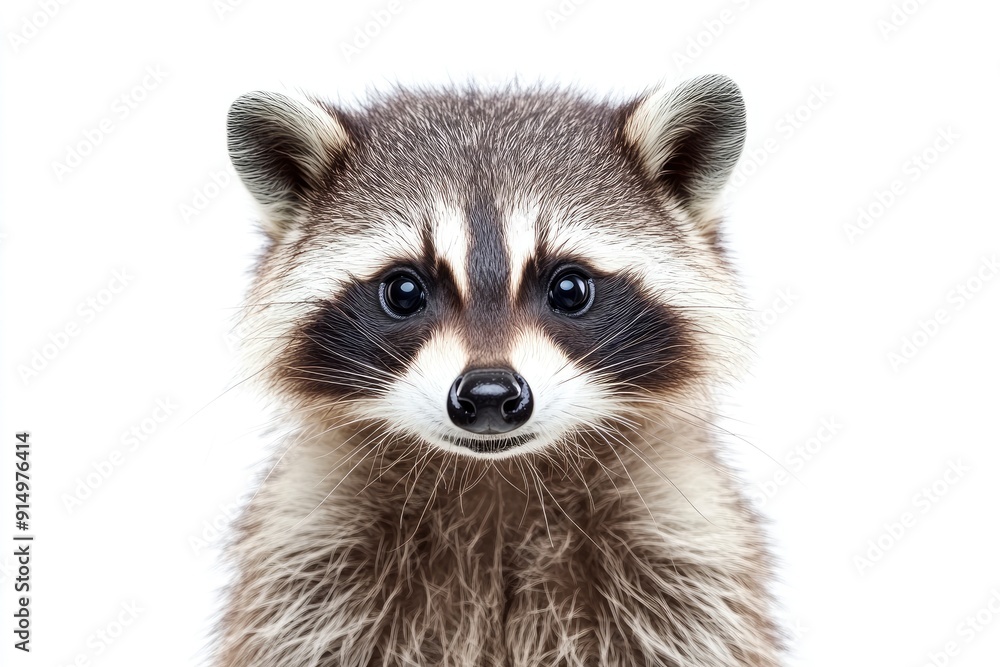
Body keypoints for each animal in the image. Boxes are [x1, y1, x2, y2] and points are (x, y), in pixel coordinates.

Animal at [217, 75, 783, 667]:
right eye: (404, 291)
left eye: (569, 288)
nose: (488, 394)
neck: (496, 478)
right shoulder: (308, 549)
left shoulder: (683, 543)